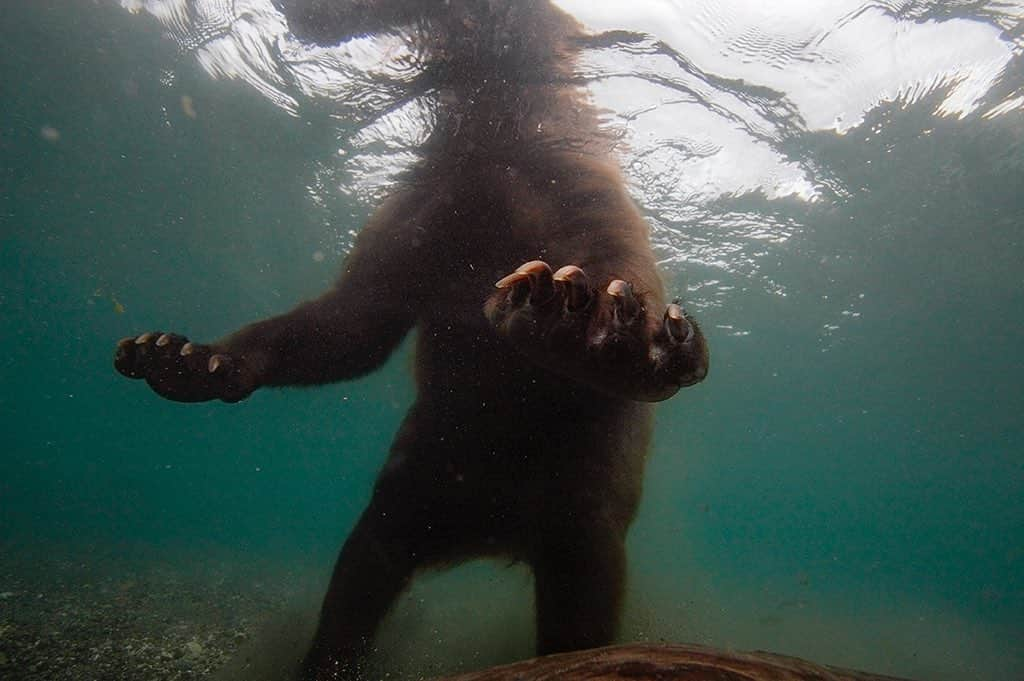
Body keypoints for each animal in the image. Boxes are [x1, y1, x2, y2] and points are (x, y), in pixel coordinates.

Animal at [110, 1, 704, 675]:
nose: (299, 16)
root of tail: (495, 535)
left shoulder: (570, 178)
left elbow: (619, 264)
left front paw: (573, 317)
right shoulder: (423, 213)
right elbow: (357, 318)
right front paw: (177, 357)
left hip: (572, 487)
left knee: (583, 588)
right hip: (431, 464)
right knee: (370, 559)